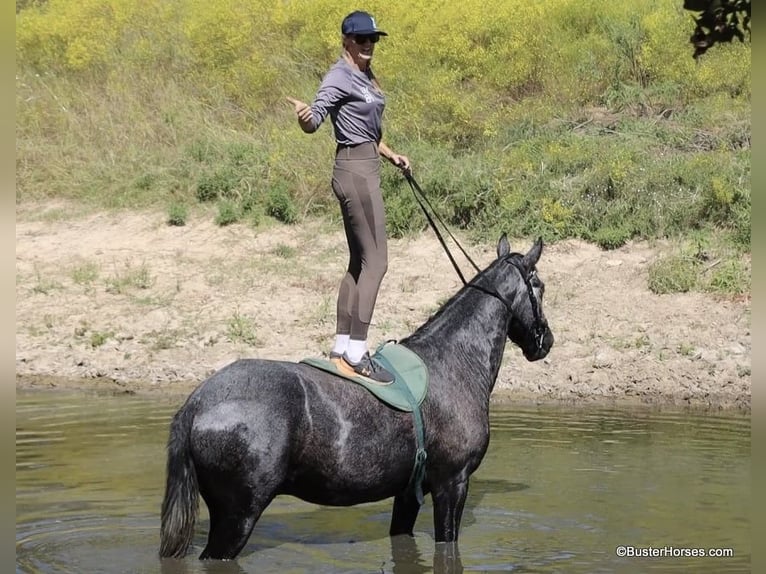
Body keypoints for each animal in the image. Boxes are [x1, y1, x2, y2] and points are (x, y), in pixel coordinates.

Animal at [159, 234, 554, 560]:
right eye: (540, 286)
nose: (545, 341)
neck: (452, 361)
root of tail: (198, 403)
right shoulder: (452, 485)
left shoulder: (408, 493)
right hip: (237, 517)